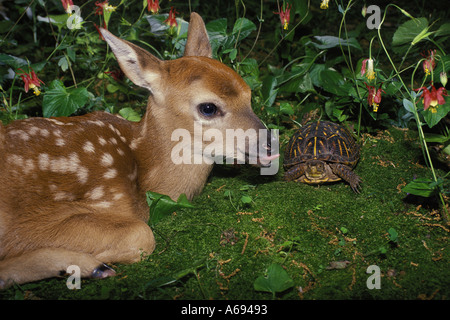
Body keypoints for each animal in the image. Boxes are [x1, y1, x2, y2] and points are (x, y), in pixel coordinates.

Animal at [0, 12, 280, 288]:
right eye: (208, 108)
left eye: (249, 94)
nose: (271, 144)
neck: (143, 179)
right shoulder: (29, 226)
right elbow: (142, 233)